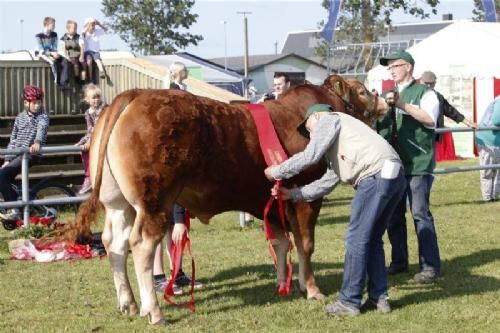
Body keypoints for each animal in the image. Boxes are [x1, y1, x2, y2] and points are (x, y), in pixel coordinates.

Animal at [67, 74, 386, 322]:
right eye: (361, 91)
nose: (381, 97)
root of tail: (135, 94)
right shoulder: (306, 198)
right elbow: (305, 245)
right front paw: (311, 289)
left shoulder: (274, 202)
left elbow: (280, 242)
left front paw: (283, 283)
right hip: (154, 201)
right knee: (141, 245)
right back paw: (154, 312)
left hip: (119, 203)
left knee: (115, 243)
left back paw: (129, 304)